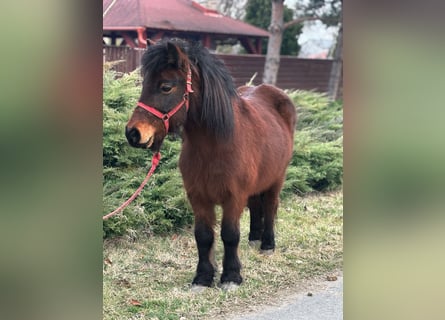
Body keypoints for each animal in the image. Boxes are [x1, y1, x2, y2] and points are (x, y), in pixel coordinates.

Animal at [125, 38, 296, 292]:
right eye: (145, 84)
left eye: (166, 87)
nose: (133, 133)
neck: (215, 146)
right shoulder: (198, 197)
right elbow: (203, 236)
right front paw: (203, 277)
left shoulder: (233, 198)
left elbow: (230, 235)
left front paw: (231, 276)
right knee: (256, 206)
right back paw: (254, 238)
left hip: (277, 178)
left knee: (270, 206)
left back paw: (267, 244)